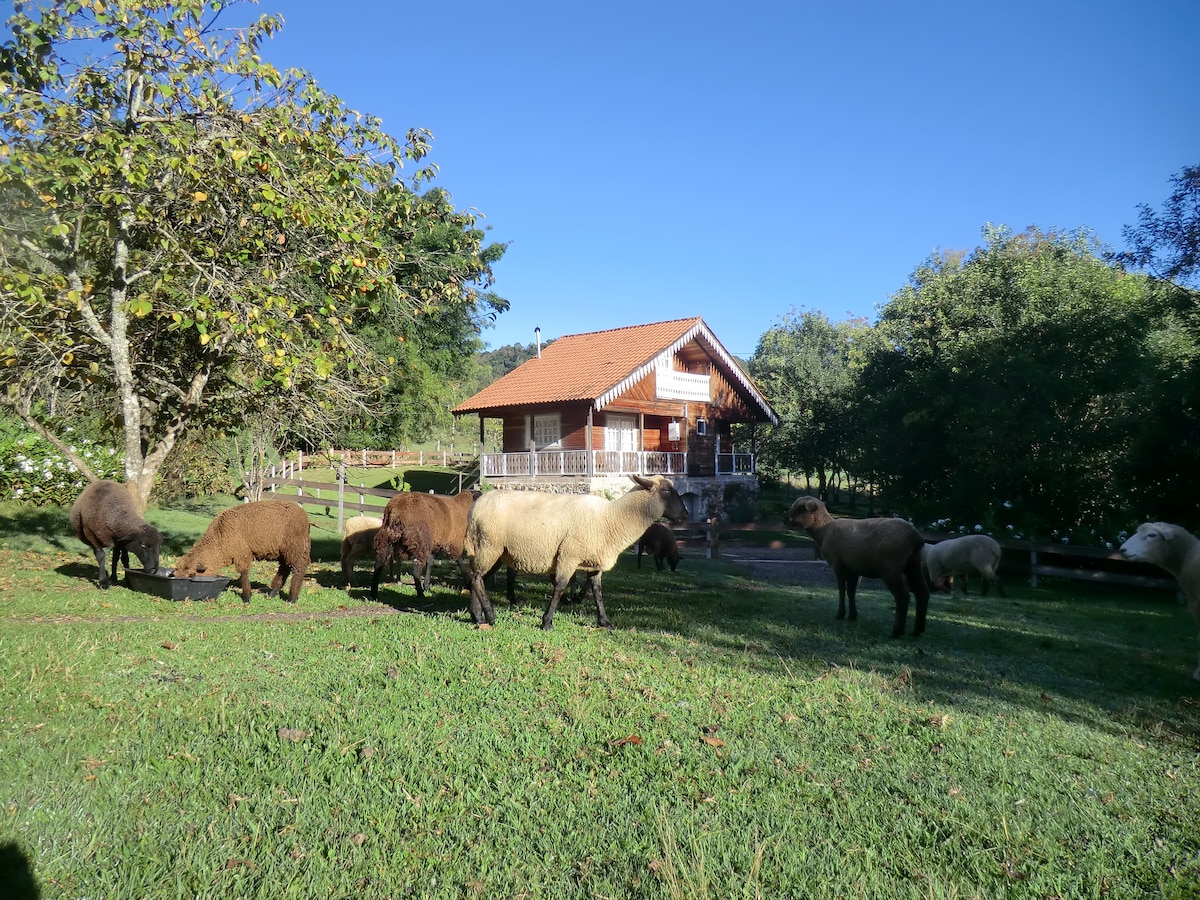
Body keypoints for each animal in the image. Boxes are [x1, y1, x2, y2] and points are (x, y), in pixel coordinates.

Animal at [175, 501, 314, 607]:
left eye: (191, 574)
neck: (219, 537)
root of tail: (304, 516)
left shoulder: (242, 552)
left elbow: (243, 574)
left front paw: (247, 597)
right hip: (285, 550)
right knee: (284, 568)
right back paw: (272, 593)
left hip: (296, 547)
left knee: (298, 569)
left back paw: (292, 598)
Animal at [463, 475, 691, 628]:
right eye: (666, 492)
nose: (686, 516)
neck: (612, 518)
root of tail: (475, 508)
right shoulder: (568, 556)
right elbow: (560, 586)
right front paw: (547, 622)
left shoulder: (595, 564)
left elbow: (597, 592)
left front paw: (604, 621)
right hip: (489, 546)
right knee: (476, 577)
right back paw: (490, 615)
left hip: (496, 552)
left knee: (476, 577)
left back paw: (478, 616)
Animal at [782, 496, 931, 638]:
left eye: (801, 508)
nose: (784, 519)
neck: (824, 531)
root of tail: (915, 536)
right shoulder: (854, 569)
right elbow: (851, 591)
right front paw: (852, 615)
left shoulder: (837, 564)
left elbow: (842, 590)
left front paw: (840, 614)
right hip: (913, 566)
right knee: (922, 592)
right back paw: (917, 630)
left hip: (891, 569)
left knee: (903, 596)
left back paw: (897, 632)